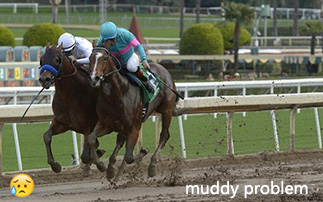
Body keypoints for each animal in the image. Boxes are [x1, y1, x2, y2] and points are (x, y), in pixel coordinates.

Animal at [38, 41, 104, 176]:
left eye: (57, 59)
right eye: (41, 60)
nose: (44, 79)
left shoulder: (89, 125)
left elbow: (85, 155)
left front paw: (98, 162)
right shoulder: (62, 123)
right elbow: (46, 136)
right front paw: (55, 166)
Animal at [87, 43, 180, 180]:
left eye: (104, 58)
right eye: (90, 58)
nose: (94, 79)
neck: (117, 92)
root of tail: (163, 69)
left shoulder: (134, 127)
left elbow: (129, 157)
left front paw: (142, 152)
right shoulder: (107, 124)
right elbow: (91, 138)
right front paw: (102, 166)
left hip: (166, 110)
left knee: (164, 135)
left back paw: (152, 165)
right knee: (120, 140)